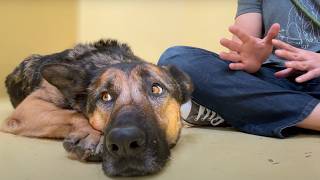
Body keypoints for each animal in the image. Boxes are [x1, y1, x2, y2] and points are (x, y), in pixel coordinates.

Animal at [0, 39, 192, 176]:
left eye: (156, 88)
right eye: (105, 96)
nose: (124, 142)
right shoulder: (29, 107)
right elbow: (73, 114)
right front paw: (92, 137)